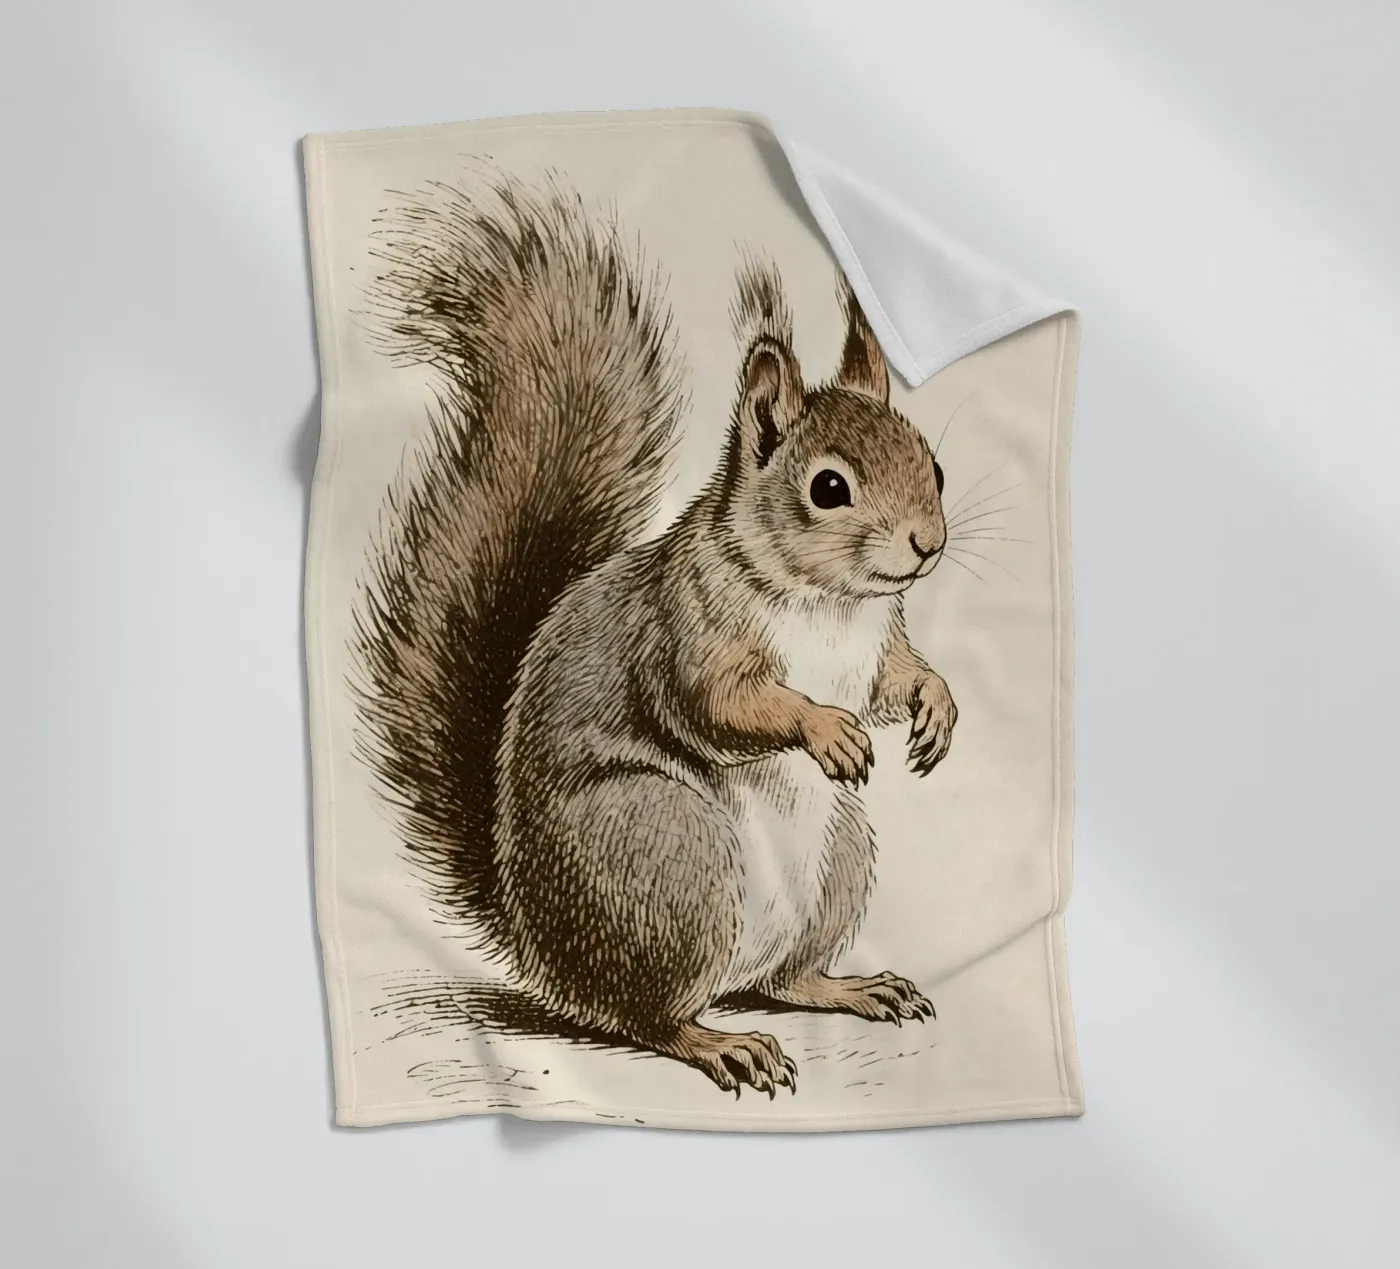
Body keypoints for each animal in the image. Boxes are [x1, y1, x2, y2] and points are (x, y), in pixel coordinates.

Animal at [354, 177, 957, 1097]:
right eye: (828, 487)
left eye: (936, 466)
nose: (928, 543)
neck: (830, 603)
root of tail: (550, 958)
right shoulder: (687, 630)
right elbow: (717, 704)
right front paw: (825, 727)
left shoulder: (876, 643)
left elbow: (897, 677)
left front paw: (937, 705)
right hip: (667, 851)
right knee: (649, 1017)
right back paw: (720, 1042)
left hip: (840, 857)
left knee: (784, 979)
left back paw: (851, 986)